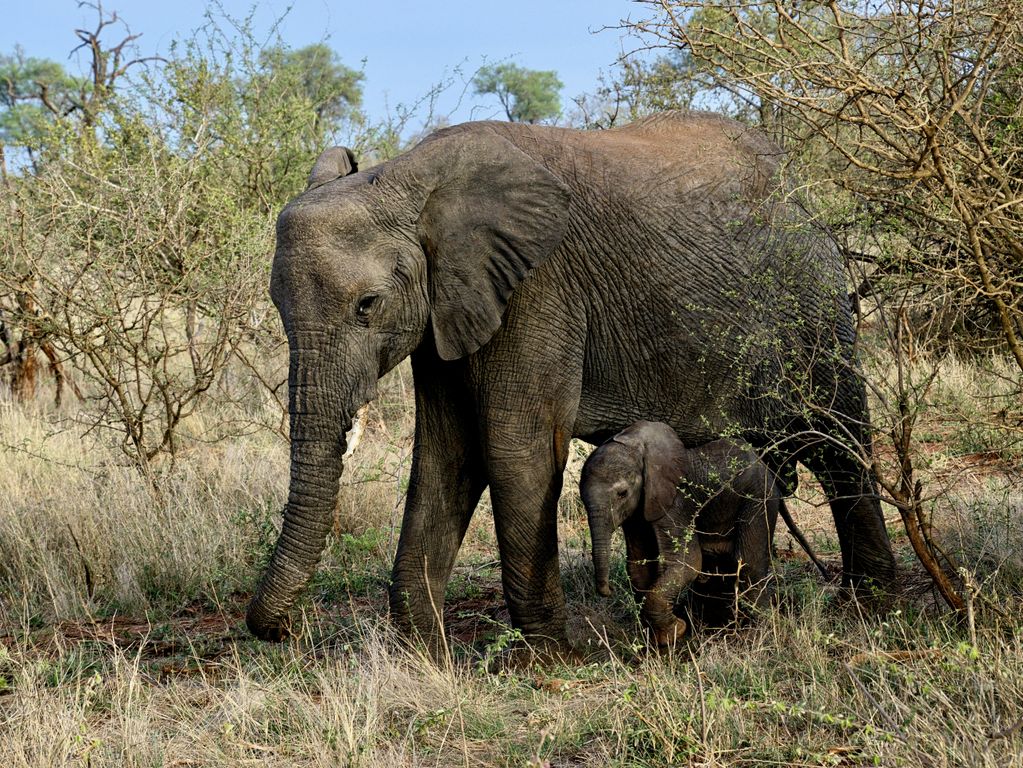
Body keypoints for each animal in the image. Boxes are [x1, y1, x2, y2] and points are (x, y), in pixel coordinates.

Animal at [581, 421, 777, 650]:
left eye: (622, 494)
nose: (609, 589)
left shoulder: (676, 503)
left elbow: (688, 562)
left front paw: (676, 630)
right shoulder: (637, 514)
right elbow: (639, 567)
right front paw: (660, 638)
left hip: (759, 498)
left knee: (748, 564)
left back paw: (758, 631)